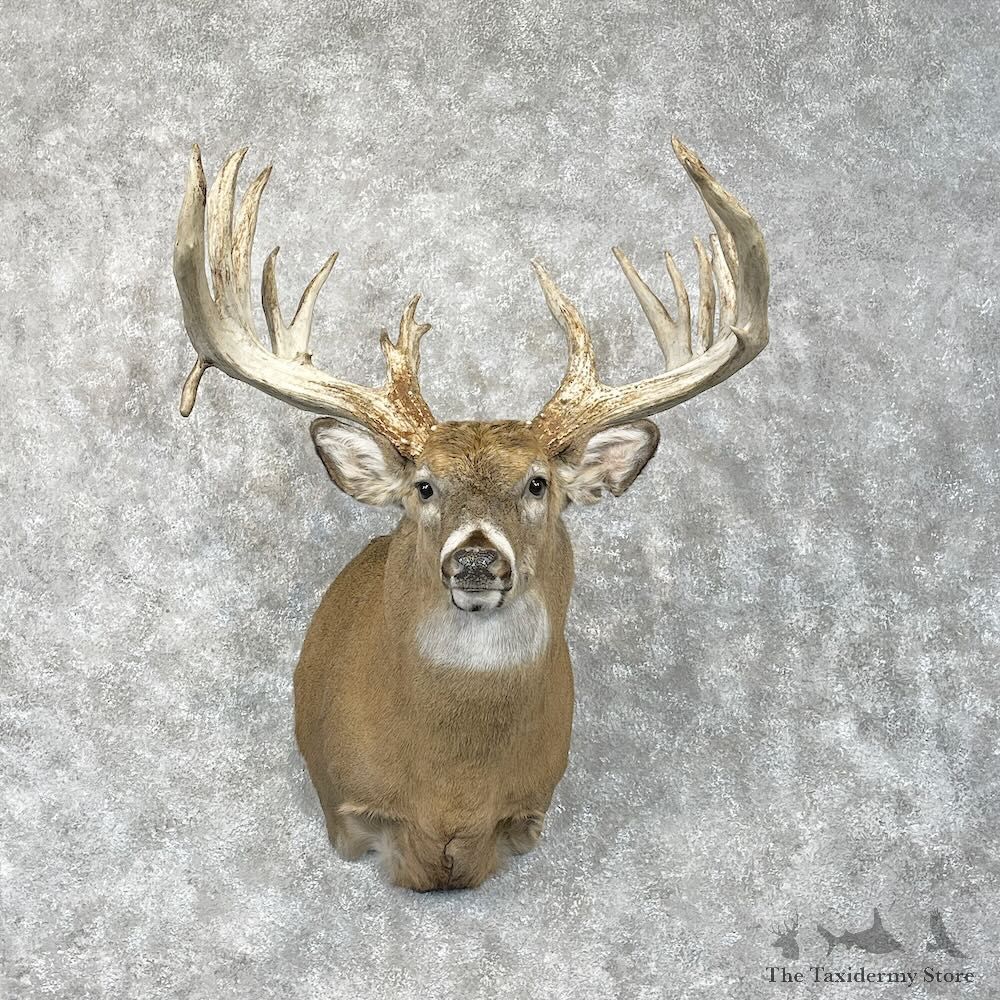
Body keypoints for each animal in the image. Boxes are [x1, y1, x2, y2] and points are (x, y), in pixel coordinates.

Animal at [172, 137, 769, 891]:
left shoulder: (528, 810)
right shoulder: (350, 810)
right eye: (424, 486)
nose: (478, 558)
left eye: (539, 483)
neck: (452, 790)